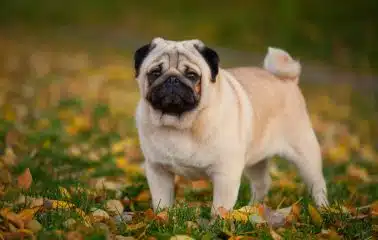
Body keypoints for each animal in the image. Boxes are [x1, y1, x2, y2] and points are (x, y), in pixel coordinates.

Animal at [134, 38, 330, 216]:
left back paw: (323, 209)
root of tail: (288, 80)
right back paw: (251, 209)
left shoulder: (225, 174)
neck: (180, 123)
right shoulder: (158, 171)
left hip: (305, 155)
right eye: (155, 73)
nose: (172, 80)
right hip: (256, 161)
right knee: (261, 183)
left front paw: (217, 226)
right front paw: (163, 218)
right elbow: (162, 202)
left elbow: (220, 208)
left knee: (317, 184)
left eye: (192, 75)